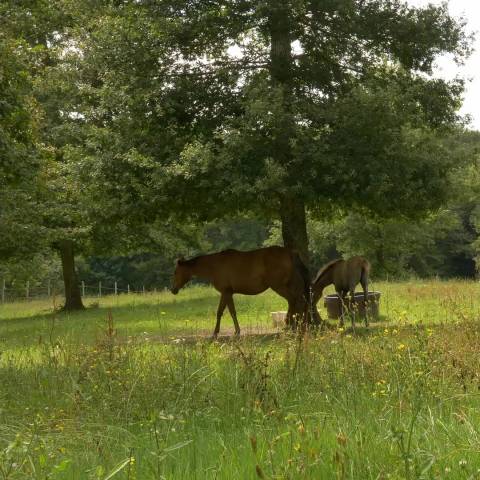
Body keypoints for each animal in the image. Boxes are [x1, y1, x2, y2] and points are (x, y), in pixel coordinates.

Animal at [171, 246, 310, 336]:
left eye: (176, 272)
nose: (173, 290)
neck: (214, 265)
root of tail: (291, 253)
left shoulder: (225, 292)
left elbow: (222, 312)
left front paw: (216, 333)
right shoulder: (228, 293)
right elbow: (230, 312)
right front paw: (235, 331)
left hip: (278, 286)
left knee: (293, 301)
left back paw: (290, 325)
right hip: (290, 285)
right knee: (299, 302)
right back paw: (298, 325)